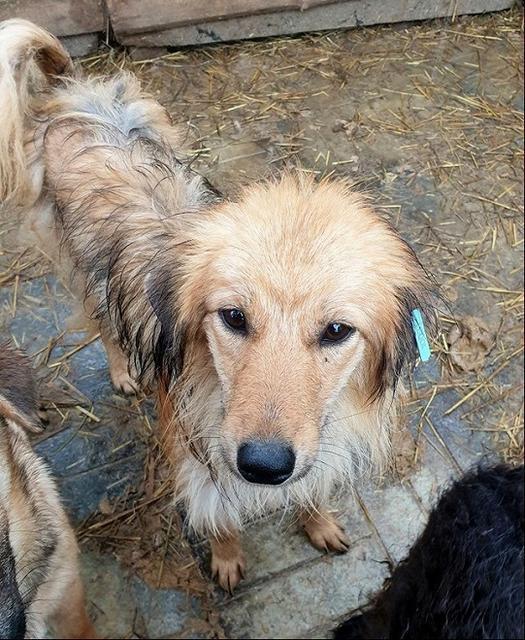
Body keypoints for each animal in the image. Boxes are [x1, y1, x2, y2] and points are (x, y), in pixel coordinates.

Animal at [0, 18, 434, 592]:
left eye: (338, 330)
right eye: (233, 317)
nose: (264, 466)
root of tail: (73, 91)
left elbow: (312, 488)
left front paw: (317, 521)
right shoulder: (197, 456)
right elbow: (221, 518)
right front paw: (227, 559)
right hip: (78, 267)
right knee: (104, 323)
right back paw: (122, 371)